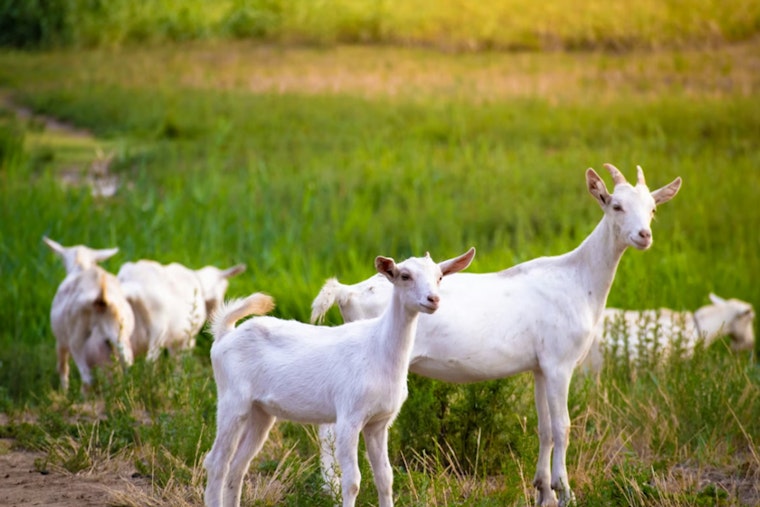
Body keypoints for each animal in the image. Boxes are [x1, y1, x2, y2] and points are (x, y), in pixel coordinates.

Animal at [44, 237, 134, 392]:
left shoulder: (61, 340)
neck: (81, 264)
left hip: (77, 341)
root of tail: (101, 297)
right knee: (127, 370)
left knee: (87, 378)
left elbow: (62, 366)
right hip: (120, 337)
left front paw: (64, 392)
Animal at [203, 248, 476, 507]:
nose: (433, 299)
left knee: (238, 465)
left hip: (260, 411)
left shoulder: (379, 422)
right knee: (216, 461)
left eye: (439, 277)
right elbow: (352, 480)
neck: (379, 350)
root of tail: (225, 334)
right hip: (232, 399)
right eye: (404, 276)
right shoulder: (349, 417)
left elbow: (385, 477)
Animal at [310, 165, 681, 507]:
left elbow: (545, 428)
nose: (644, 235)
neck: (579, 279)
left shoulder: (540, 367)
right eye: (616, 205)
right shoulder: (560, 364)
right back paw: (331, 490)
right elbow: (563, 426)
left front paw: (543, 491)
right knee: (330, 429)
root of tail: (347, 293)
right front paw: (565, 492)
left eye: (652, 208)